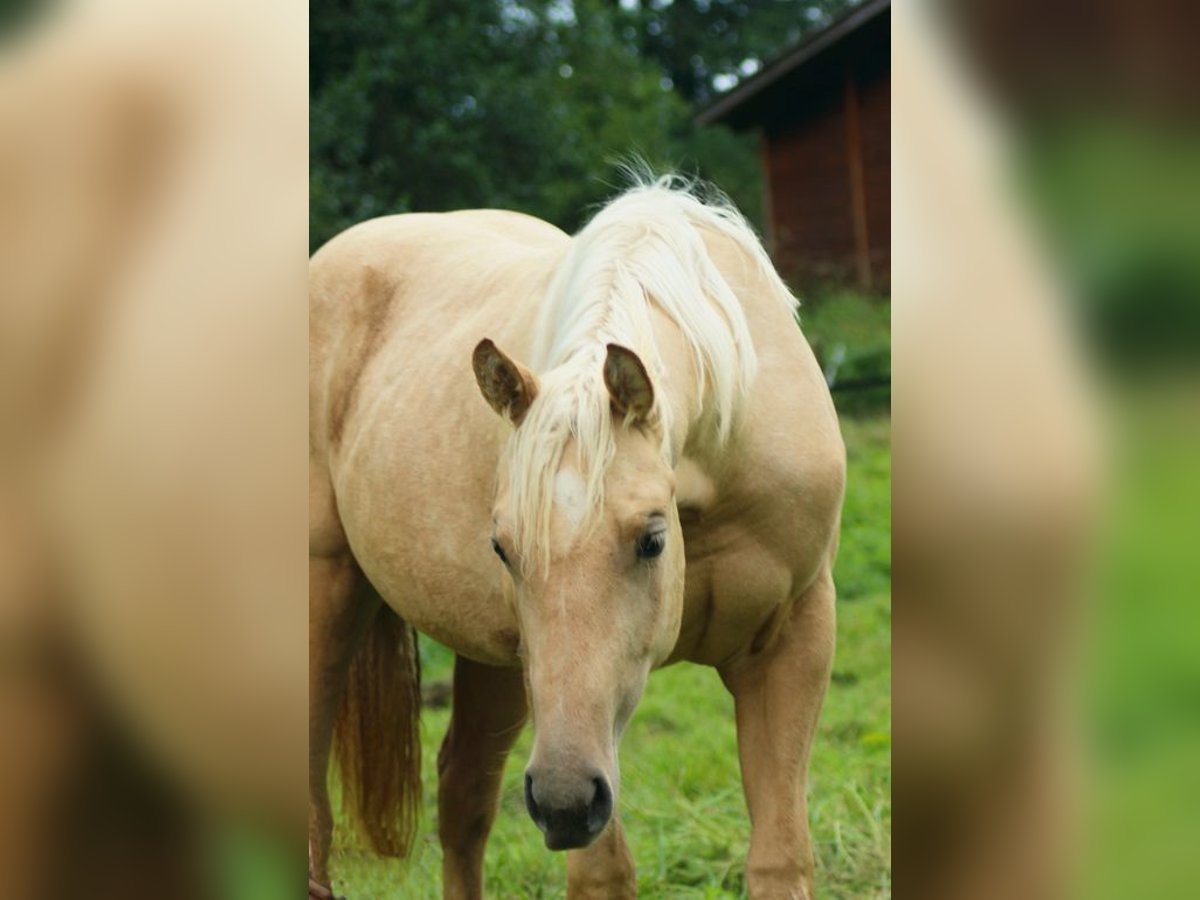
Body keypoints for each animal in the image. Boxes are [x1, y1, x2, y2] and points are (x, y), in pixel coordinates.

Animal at [307, 180, 844, 897]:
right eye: (503, 550)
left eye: (651, 541)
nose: (563, 804)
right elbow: (604, 873)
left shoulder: (793, 642)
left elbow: (780, 855)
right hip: (331, 592)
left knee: (463, 795)